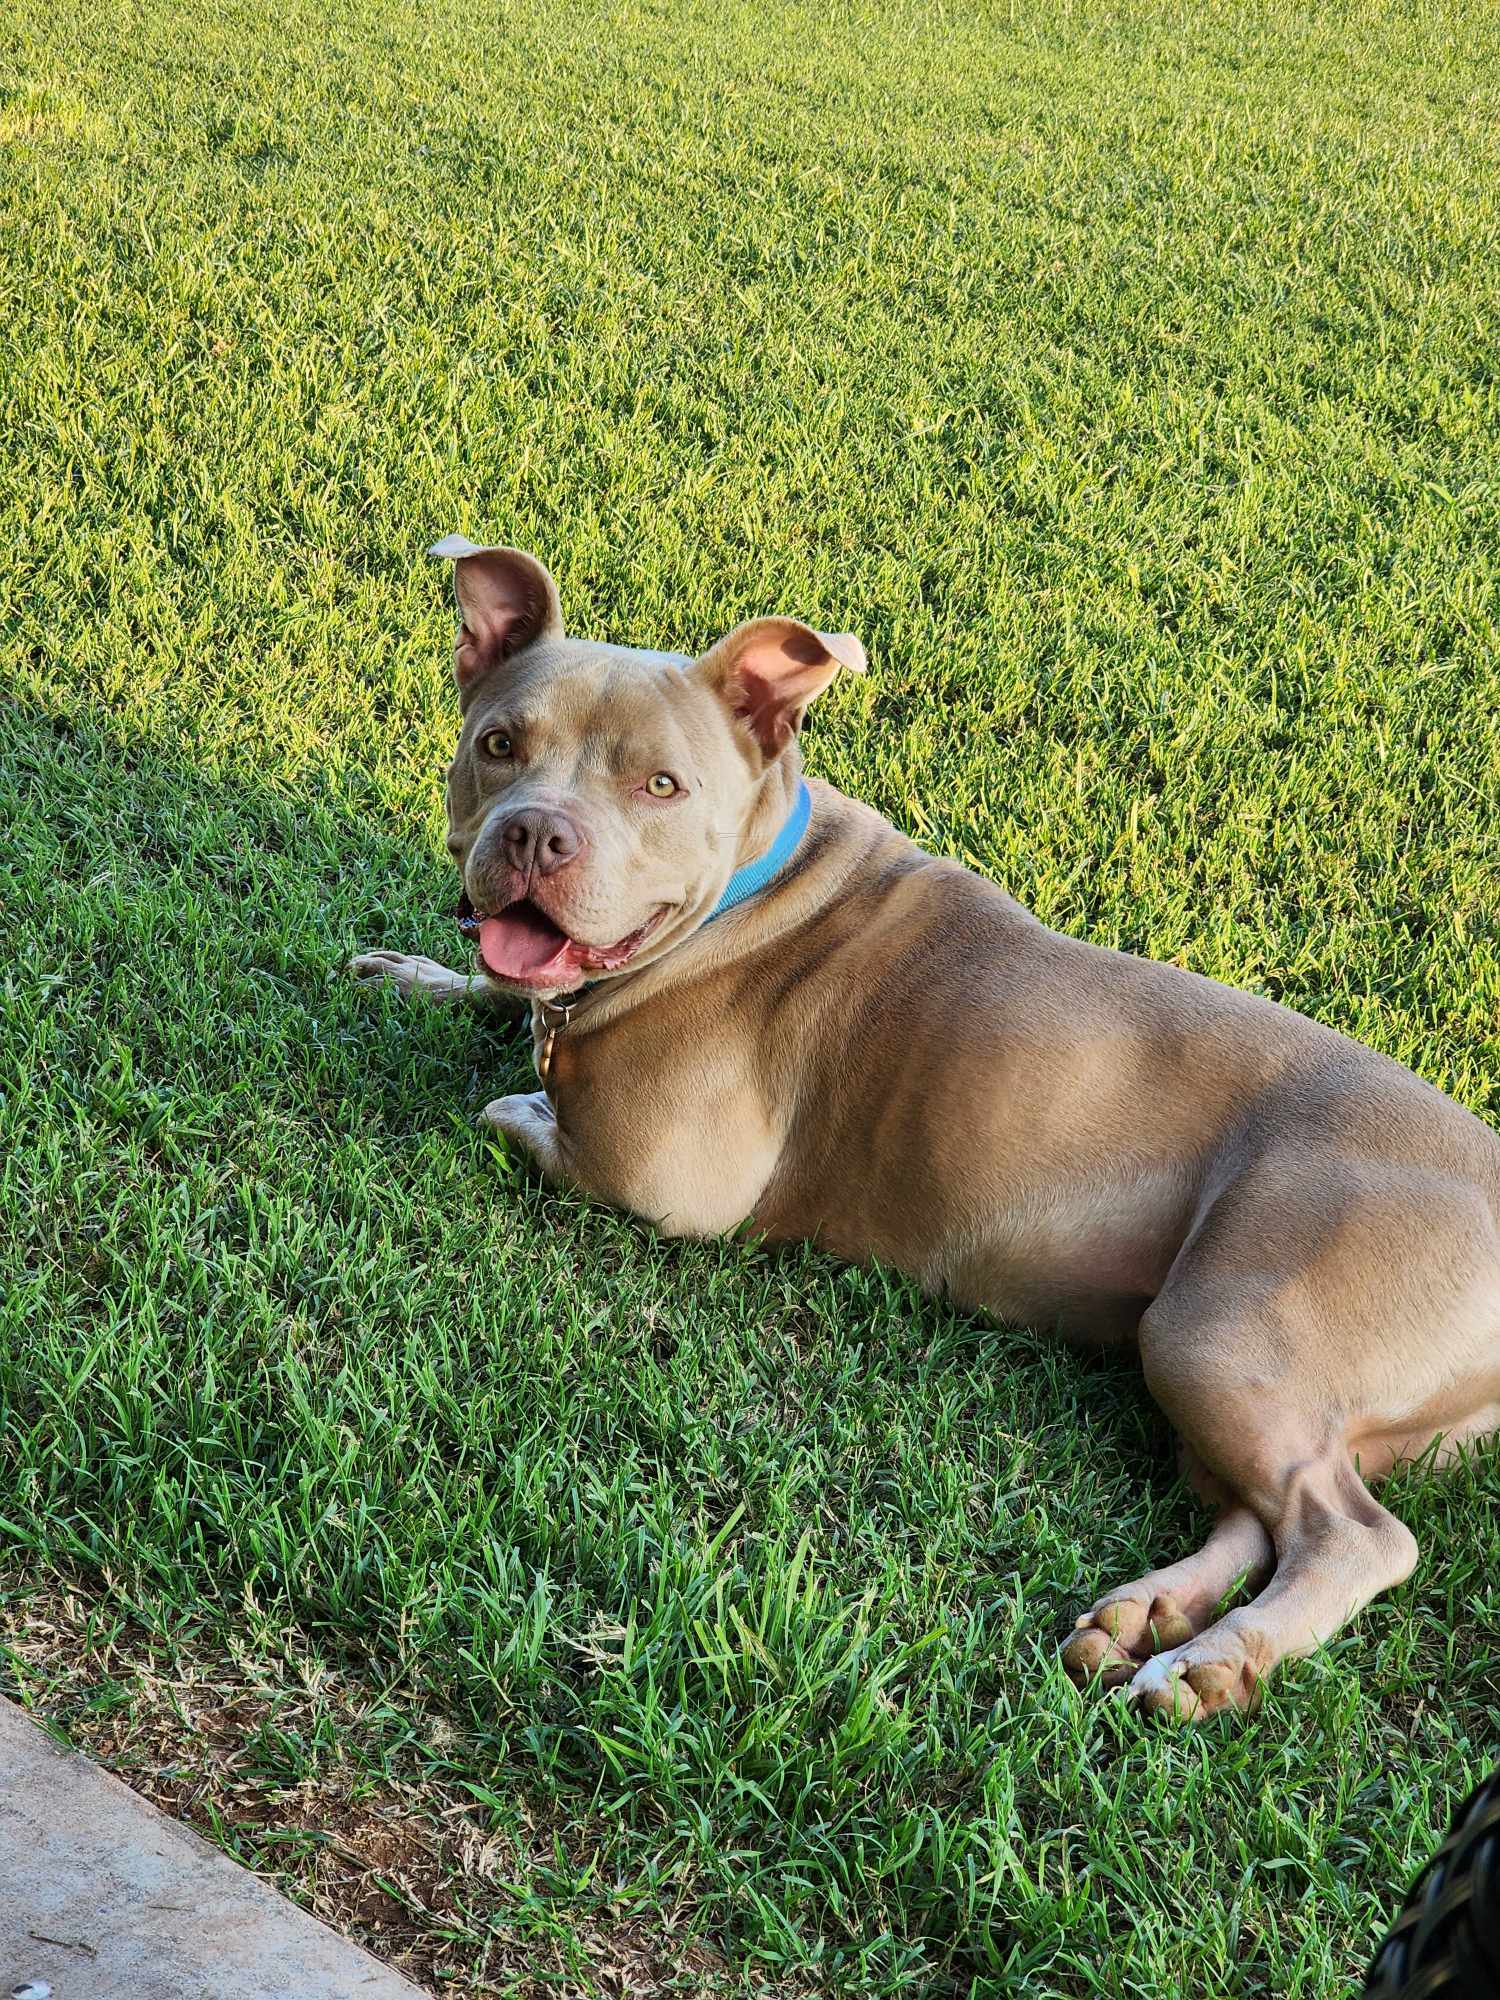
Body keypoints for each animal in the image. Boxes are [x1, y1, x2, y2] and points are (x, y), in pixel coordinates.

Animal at [356, 544, 1500, 1720]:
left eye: (661, 785)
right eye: (499, 744)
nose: (536, 832)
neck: (750, 889)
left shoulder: (661, 1180)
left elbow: (513, 1109)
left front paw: (516, 1088)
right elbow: (503, 996)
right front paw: (422, 977)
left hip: (1223, 1326)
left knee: (1355, 1532)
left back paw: (1218, 1659)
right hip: (1233, 1373)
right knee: (1262, 1510)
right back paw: (1151, 1617)